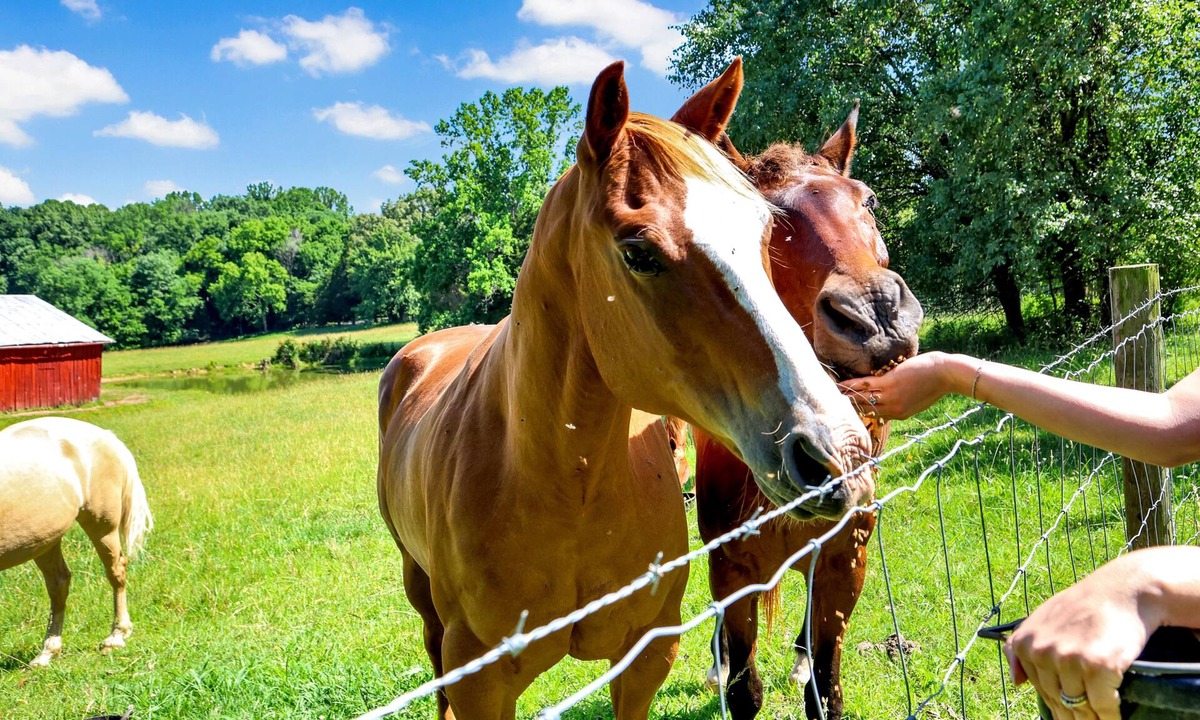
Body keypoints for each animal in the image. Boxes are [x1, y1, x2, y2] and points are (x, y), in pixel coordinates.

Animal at [0, 417, 153, 668]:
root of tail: (105, 435)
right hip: (44, 539)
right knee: (59, 584)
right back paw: (48, 652)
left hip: (102, 525)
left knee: (116, 571)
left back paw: (116, 637)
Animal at [376, 59, 875, 718]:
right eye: (638, 253)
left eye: (764, 233)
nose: (836, 451)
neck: (566, 485)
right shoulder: (479, 682)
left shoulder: (645, 657)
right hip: (424, 599)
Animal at [671, 84, 924, 719]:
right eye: (771, 222)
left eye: (869, 200)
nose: (877, 314)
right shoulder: (732, 564)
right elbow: (744, 687)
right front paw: (726, 671)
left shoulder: (844, 558)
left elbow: (825, 688)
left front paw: (808, 666)